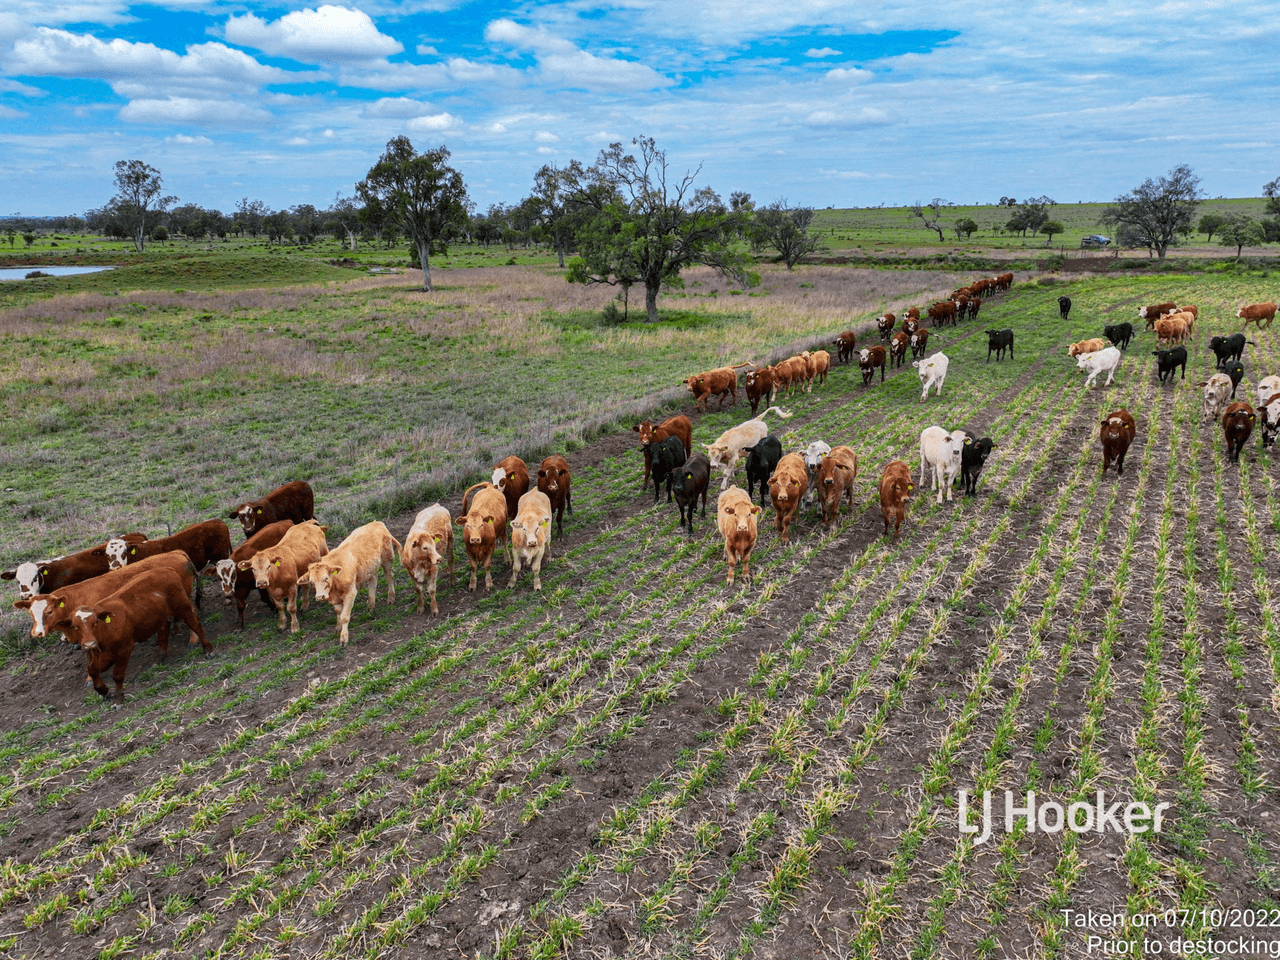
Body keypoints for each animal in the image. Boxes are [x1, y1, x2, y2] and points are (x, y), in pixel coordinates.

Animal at [54, 563, 207, 706]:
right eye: (74, 626)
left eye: (95, 622)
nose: (89, 644)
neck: (105, 630)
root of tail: (167, 569)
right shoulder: (98, 656)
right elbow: (92, 671)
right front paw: (104, 691)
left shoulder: (124, 649)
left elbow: (117, 675)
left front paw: (118, 700)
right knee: (164, 631)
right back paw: (160, 657)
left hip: (183, 607)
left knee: (195, 624)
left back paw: (205, 649)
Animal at [299, 522, 399, 650]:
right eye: (311, 582)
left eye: (326, 578)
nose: (320, 597)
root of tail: (377, 522)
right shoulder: (335, 598)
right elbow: (338, 612)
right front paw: (338, 628)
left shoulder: (350, 593)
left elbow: (345, 616)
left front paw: (343, 638)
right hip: (370, 567)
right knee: (373, 580)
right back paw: (371, 605)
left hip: (387, 559)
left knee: (389, 577)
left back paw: (391, 598)